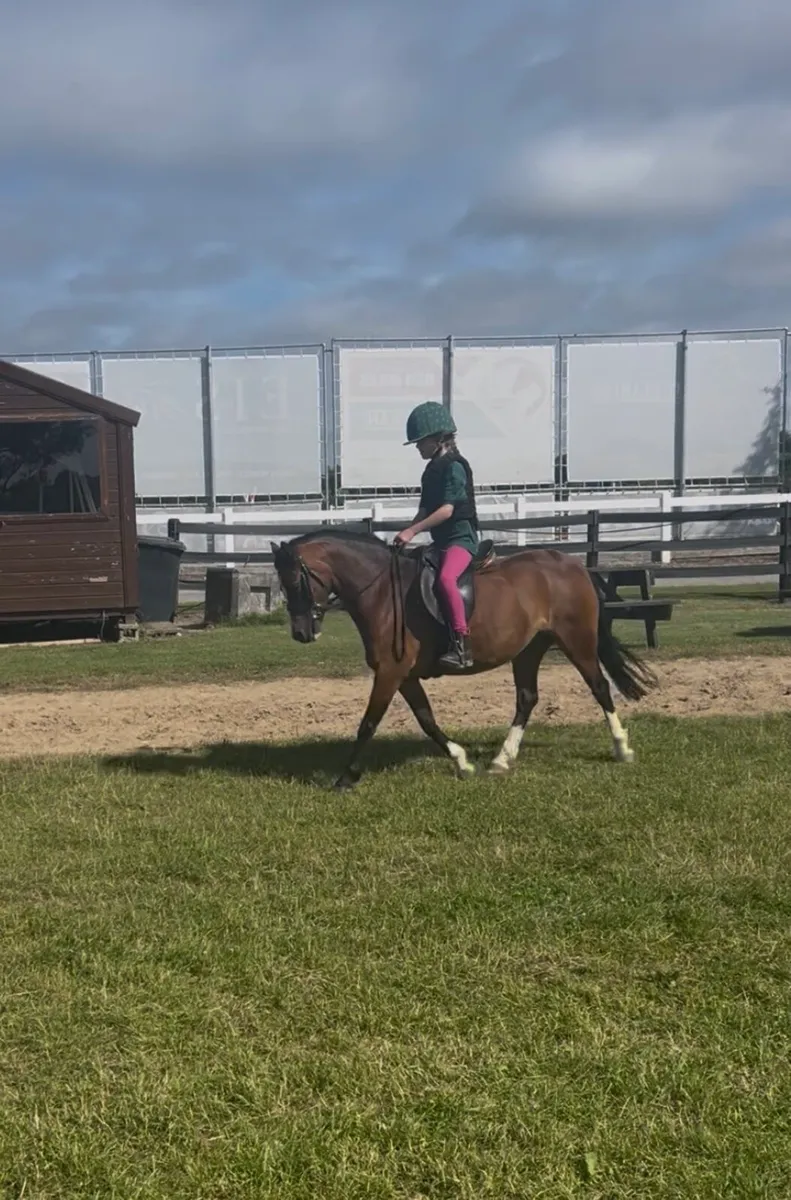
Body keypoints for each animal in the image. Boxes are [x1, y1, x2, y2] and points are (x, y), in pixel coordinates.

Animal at [271, 529, 657, 788]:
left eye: (296, 581)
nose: (301, 633)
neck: (381, 592)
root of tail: (573, 564)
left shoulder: (390, 672)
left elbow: (368, 723)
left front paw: (346, 778)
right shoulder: (404, 675)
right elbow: (426, 719)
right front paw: (462, 762)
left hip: (577, 641)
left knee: (599, 687)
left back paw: (622, 748)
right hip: (529, 650)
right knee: (527, 698)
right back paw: (501, 760)